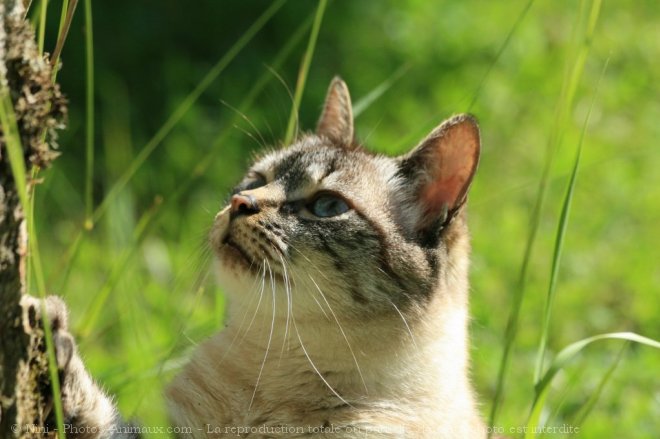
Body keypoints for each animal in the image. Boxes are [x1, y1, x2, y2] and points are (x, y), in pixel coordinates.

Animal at [24, 77, 484, 438]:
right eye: (256, 179)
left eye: (327, 206)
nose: (240, 203)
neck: (275, 367)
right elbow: (93, 414)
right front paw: (46, 336)